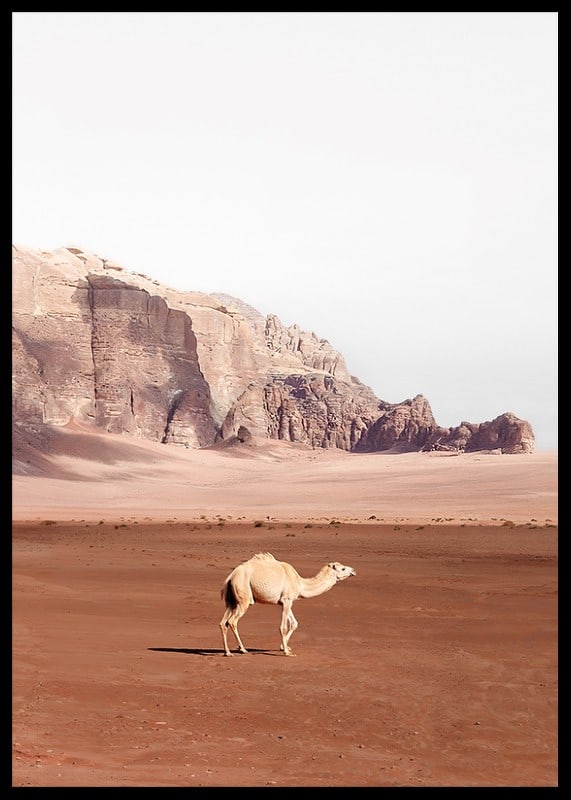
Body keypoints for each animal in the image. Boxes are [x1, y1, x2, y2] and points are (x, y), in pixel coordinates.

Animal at [219, 552, 356, 656]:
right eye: (343, 568)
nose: (353, 570)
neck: (300, 583)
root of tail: (230, 577)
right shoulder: (286, 600)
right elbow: (283, 627)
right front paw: (286, 652)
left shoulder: (286, 601)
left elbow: (294, 623)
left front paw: (284, 646)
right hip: (244, 598)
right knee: (232, 621)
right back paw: (242, 649)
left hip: (232, 601)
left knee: (223, 623)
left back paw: (228, 652)